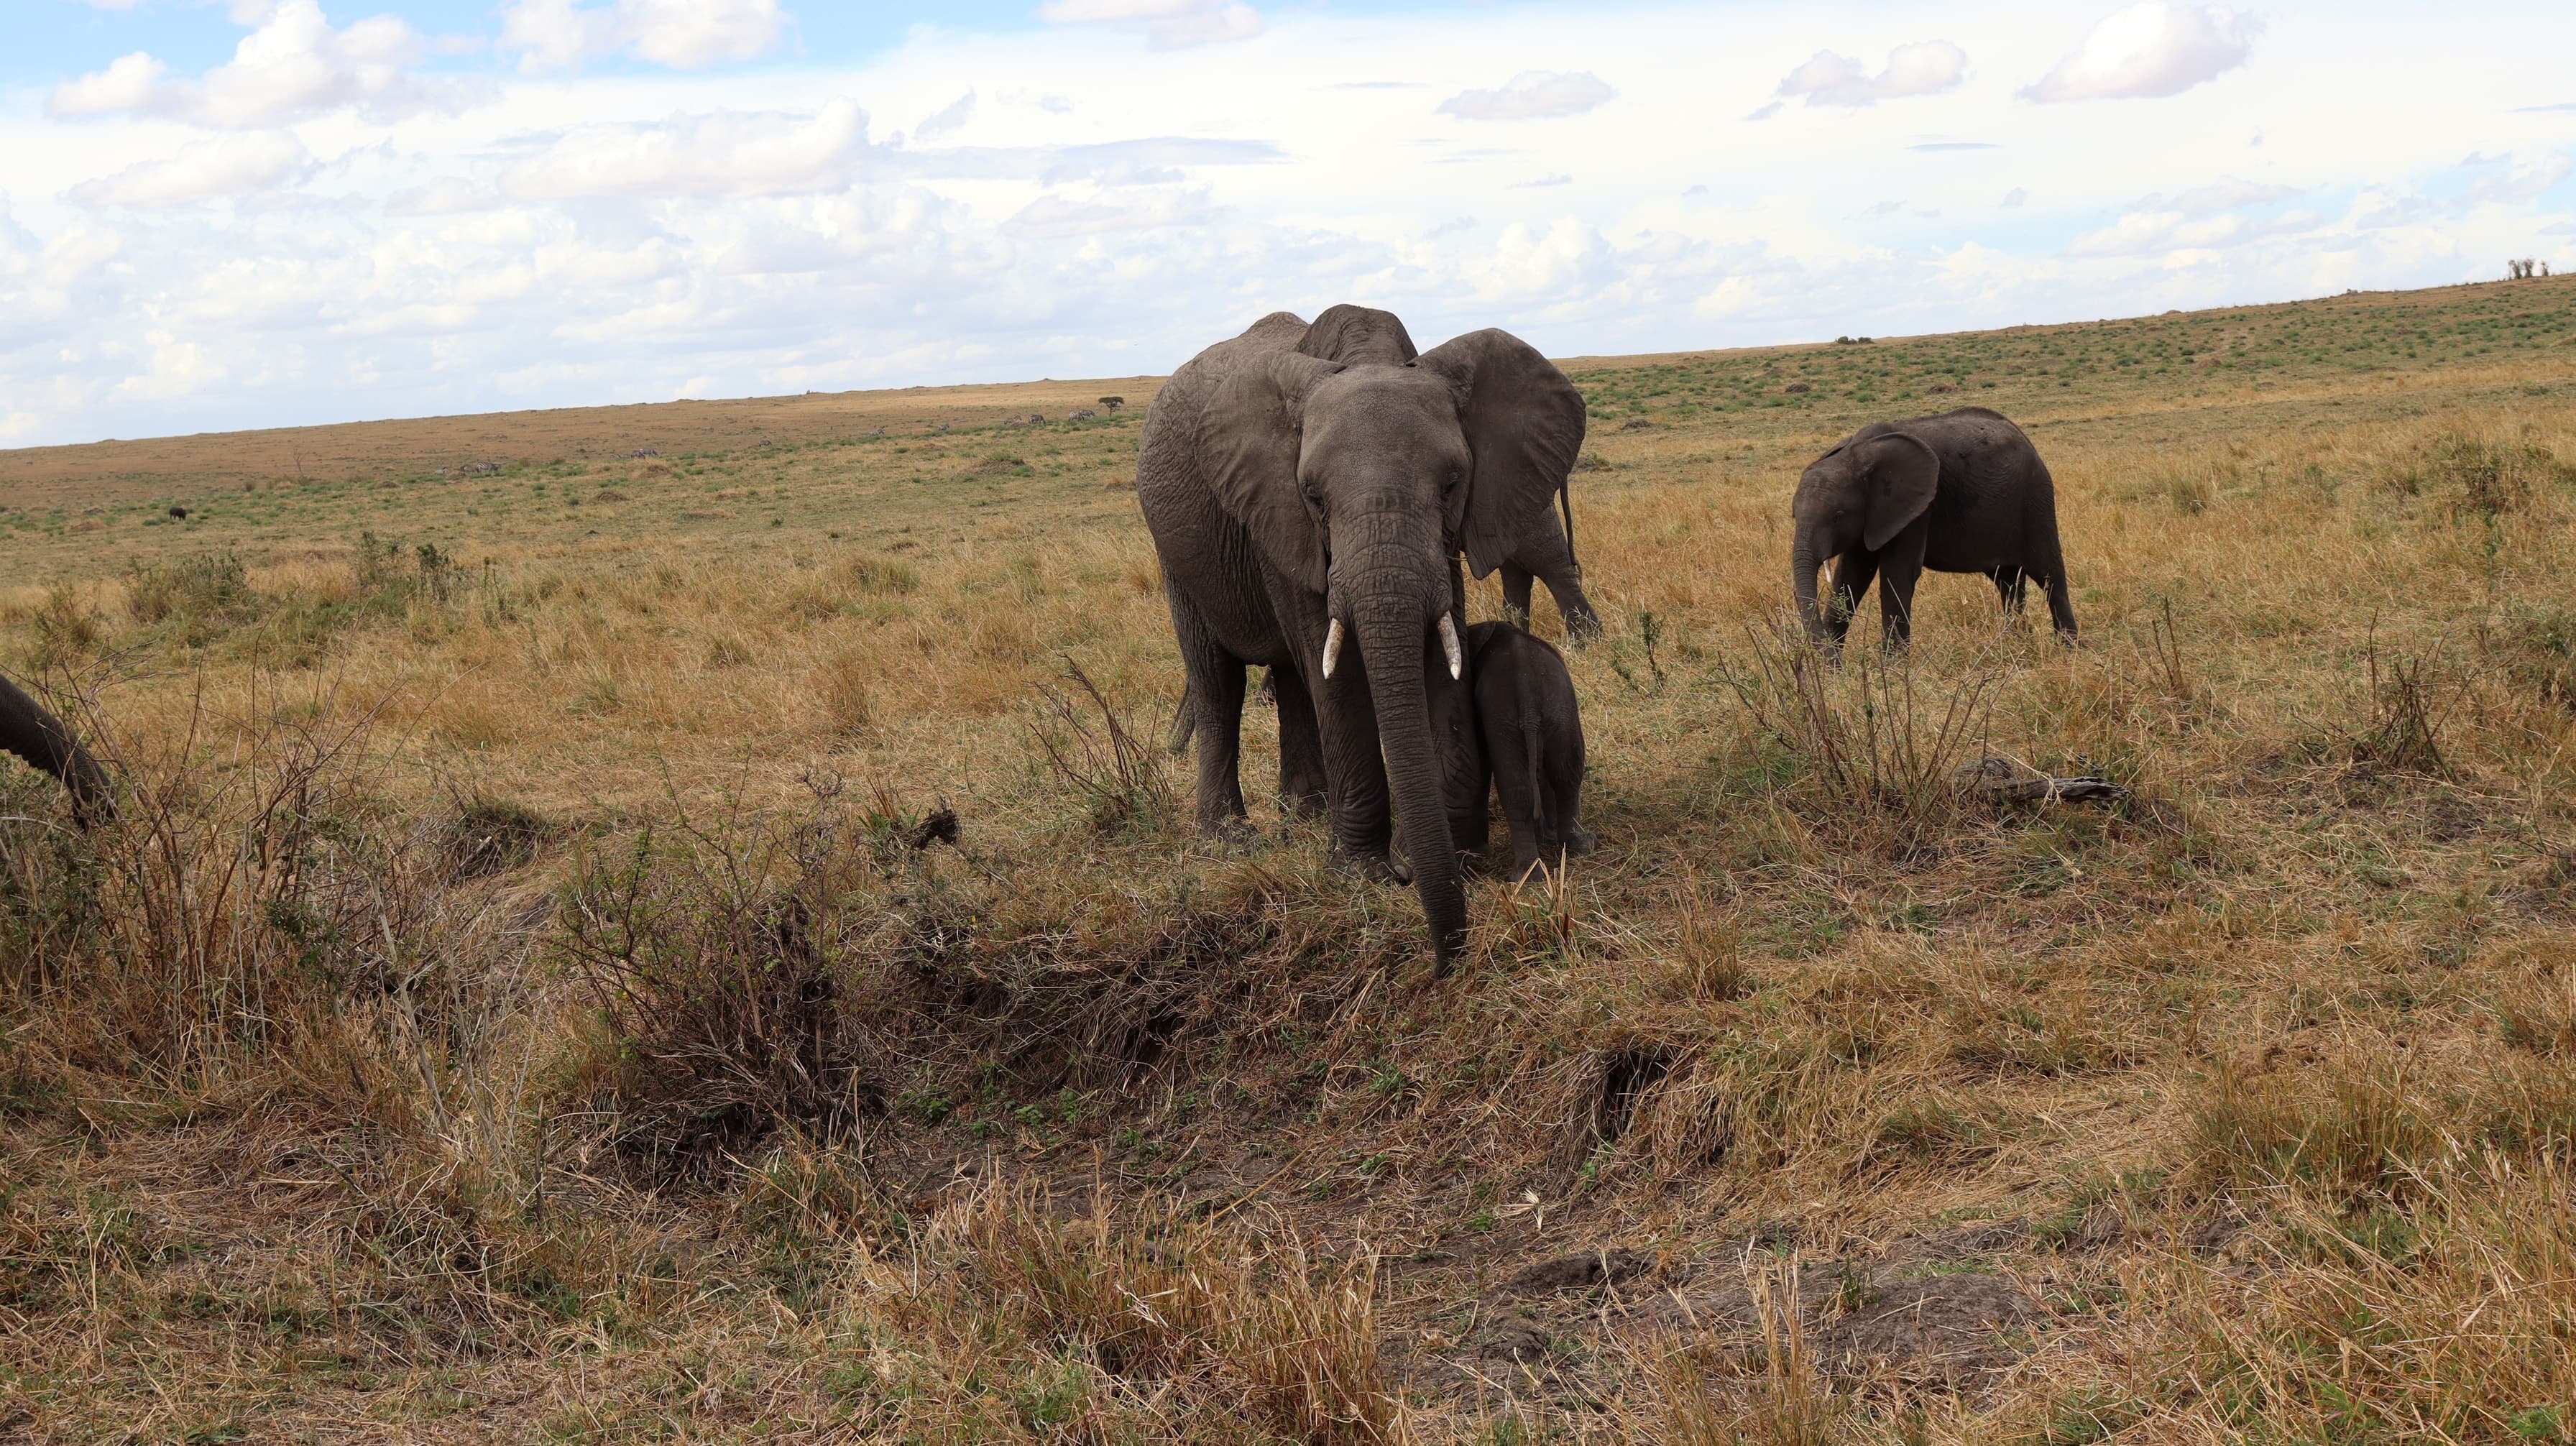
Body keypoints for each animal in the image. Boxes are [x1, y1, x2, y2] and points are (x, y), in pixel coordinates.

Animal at [1458, 621, 1592, 881]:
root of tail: (1528, 691)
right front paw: (1548, 835)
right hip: (1560, 710)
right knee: (1567, 773)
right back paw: (1578, 848)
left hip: (1508, 720)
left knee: (1517, 790)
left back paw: (1526, 876)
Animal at [1791, 406, 2076, 650]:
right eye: (1794, 516)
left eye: (1837, 517)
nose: (1824, 650)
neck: (1855, 455)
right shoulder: (1873, 516)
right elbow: (1852, 575)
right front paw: (1834, 672)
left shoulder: (1917, 508)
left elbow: (1897, 574)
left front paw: (1893, 670)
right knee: (2008, 582)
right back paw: (2018, 645)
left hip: (2035, 498)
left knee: (2050, 576)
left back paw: (2068, 649)